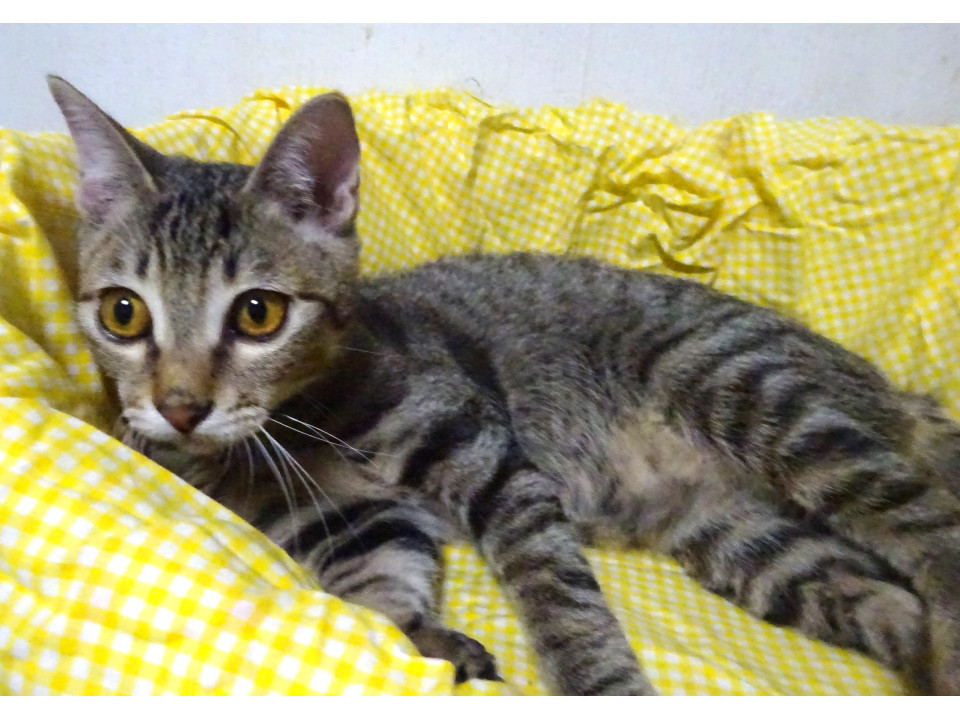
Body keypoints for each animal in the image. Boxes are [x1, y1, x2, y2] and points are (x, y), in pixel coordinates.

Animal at [48, 74, 960, 695]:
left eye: (259, 315)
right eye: (124, 314)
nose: (179, 408)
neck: (296, 429)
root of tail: (889, 393)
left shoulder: (488, 457)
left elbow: (558, 593)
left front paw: (604, 685)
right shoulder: (352, 522)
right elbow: (379, 600)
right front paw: (427, 645)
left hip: (746, 390)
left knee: (930, 533)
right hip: (745, 537)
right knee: (883, 595)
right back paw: (917, 654)